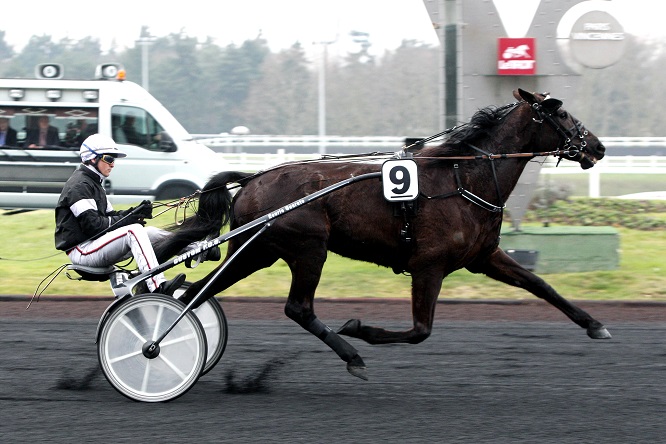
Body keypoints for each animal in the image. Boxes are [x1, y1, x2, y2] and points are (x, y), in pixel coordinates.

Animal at [153, 88, 608, 380]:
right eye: (561, 113)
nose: (598, 147)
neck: (464, 179)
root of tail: (252, 178)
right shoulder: (429, 266)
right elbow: (420, 331)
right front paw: (360, 329)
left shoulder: (483, 257)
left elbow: (540, 284)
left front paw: (594, 324)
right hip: (307, 248)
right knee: (298, 308)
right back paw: (351, 354)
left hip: (257, 251)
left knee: (199, 291)